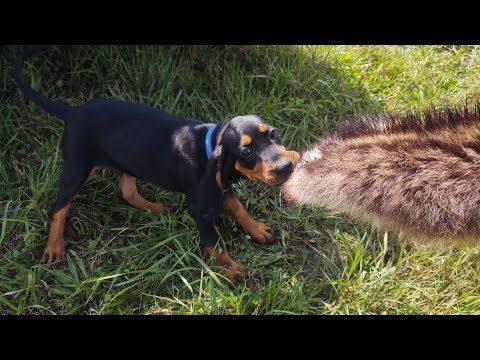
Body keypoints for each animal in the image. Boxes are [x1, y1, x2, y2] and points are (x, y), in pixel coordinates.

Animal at [14, 45, 300, 284]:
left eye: (273, 133)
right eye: (246, 151)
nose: (286, 167)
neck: (209, 142)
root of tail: (72, 112)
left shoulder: (222, 184)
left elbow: (240, 209)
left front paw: (257, 230)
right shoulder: (201, 205)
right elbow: (215, 242)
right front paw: (230, 270)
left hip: (127, 161)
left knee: (128, 192)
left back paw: (156, 208)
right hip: (76, 167)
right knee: (59, 207)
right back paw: (54, 246)